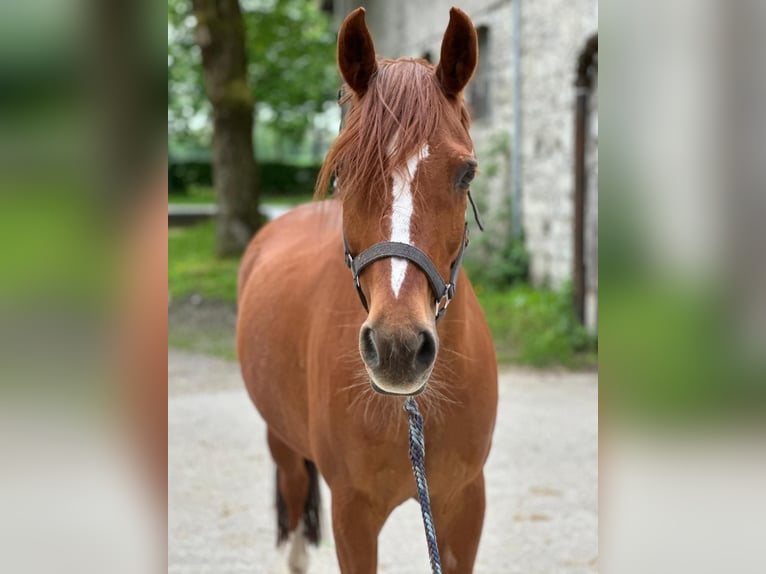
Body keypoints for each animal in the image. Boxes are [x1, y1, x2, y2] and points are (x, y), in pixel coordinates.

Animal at [236, 7, 498, 573]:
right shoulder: (352, 514)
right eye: (341, 172)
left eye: (466, 173)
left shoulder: (465, 504)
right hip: (282, 442)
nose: (398, 347)